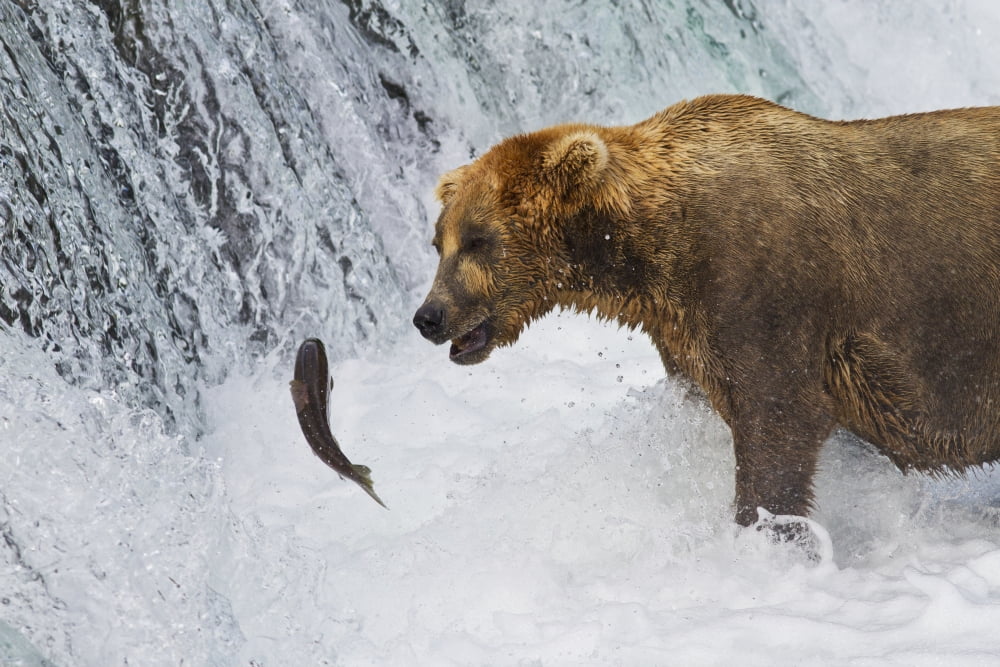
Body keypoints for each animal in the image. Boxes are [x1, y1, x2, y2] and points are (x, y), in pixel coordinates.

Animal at [413, 94, 1000, 527]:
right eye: (439, 242)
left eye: (478, 240)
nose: (428, 316)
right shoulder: (683, 327)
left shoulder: (761, 290)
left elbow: (779, 424)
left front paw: (767, 531)